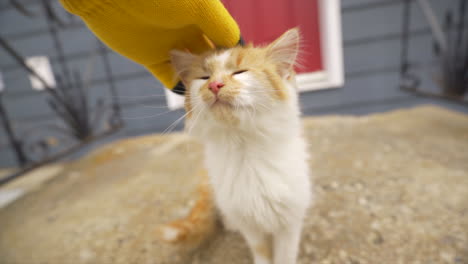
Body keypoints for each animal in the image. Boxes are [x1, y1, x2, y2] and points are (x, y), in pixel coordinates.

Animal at [161, 28, 310, 264]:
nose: (215, 85)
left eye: (240, 72)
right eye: (204, 77)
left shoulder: (290, 220)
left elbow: (284, 255)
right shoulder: (249, 225)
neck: (244, 144)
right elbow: (261, 253)